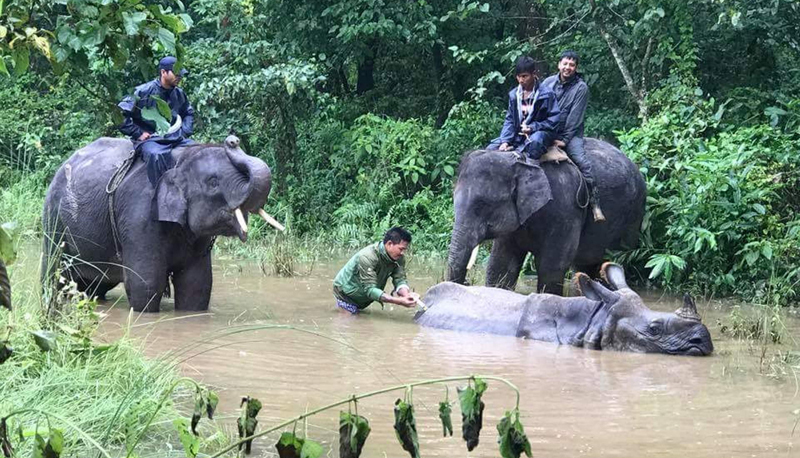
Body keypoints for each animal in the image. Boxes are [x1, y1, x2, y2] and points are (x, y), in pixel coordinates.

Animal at [42, 132, 284, 312]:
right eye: (213, 182)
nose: (233, 140)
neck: (180, 159)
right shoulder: (138, 215)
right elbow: (145, 284)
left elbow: (197, 285)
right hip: (54, 218)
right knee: (54, 271)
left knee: (95, 284)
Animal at [446, 136, 648, 294]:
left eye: (482, 205)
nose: (466, 282)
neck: (523, 162)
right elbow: (501, 265)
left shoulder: (565, 208)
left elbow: (551, 267)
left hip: (633, 216)